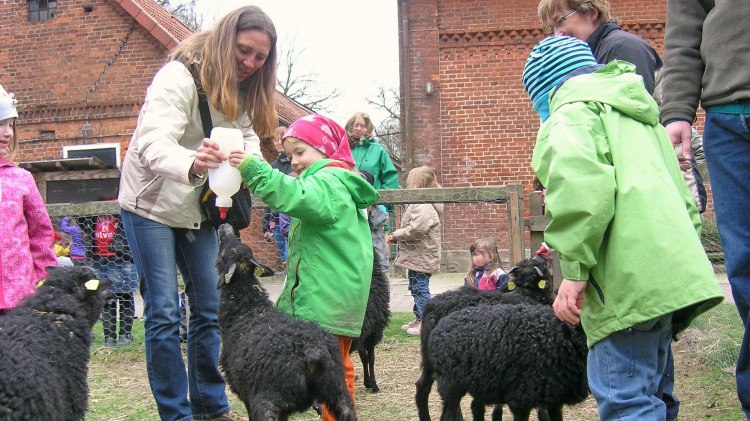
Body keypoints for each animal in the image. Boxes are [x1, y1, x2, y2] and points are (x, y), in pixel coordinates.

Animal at [216, 223, 360, 420]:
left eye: (224, 253)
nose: (225, 225)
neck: (247, 308)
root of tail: (313, 352)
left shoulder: (248, 396)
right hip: (338, 391)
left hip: (268, 401)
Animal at [414, 253, 556, 420]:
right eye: (542, 266)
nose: (543, 254)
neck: (527, 294)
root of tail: (431, 309)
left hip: (430, 359)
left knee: (422, 387)